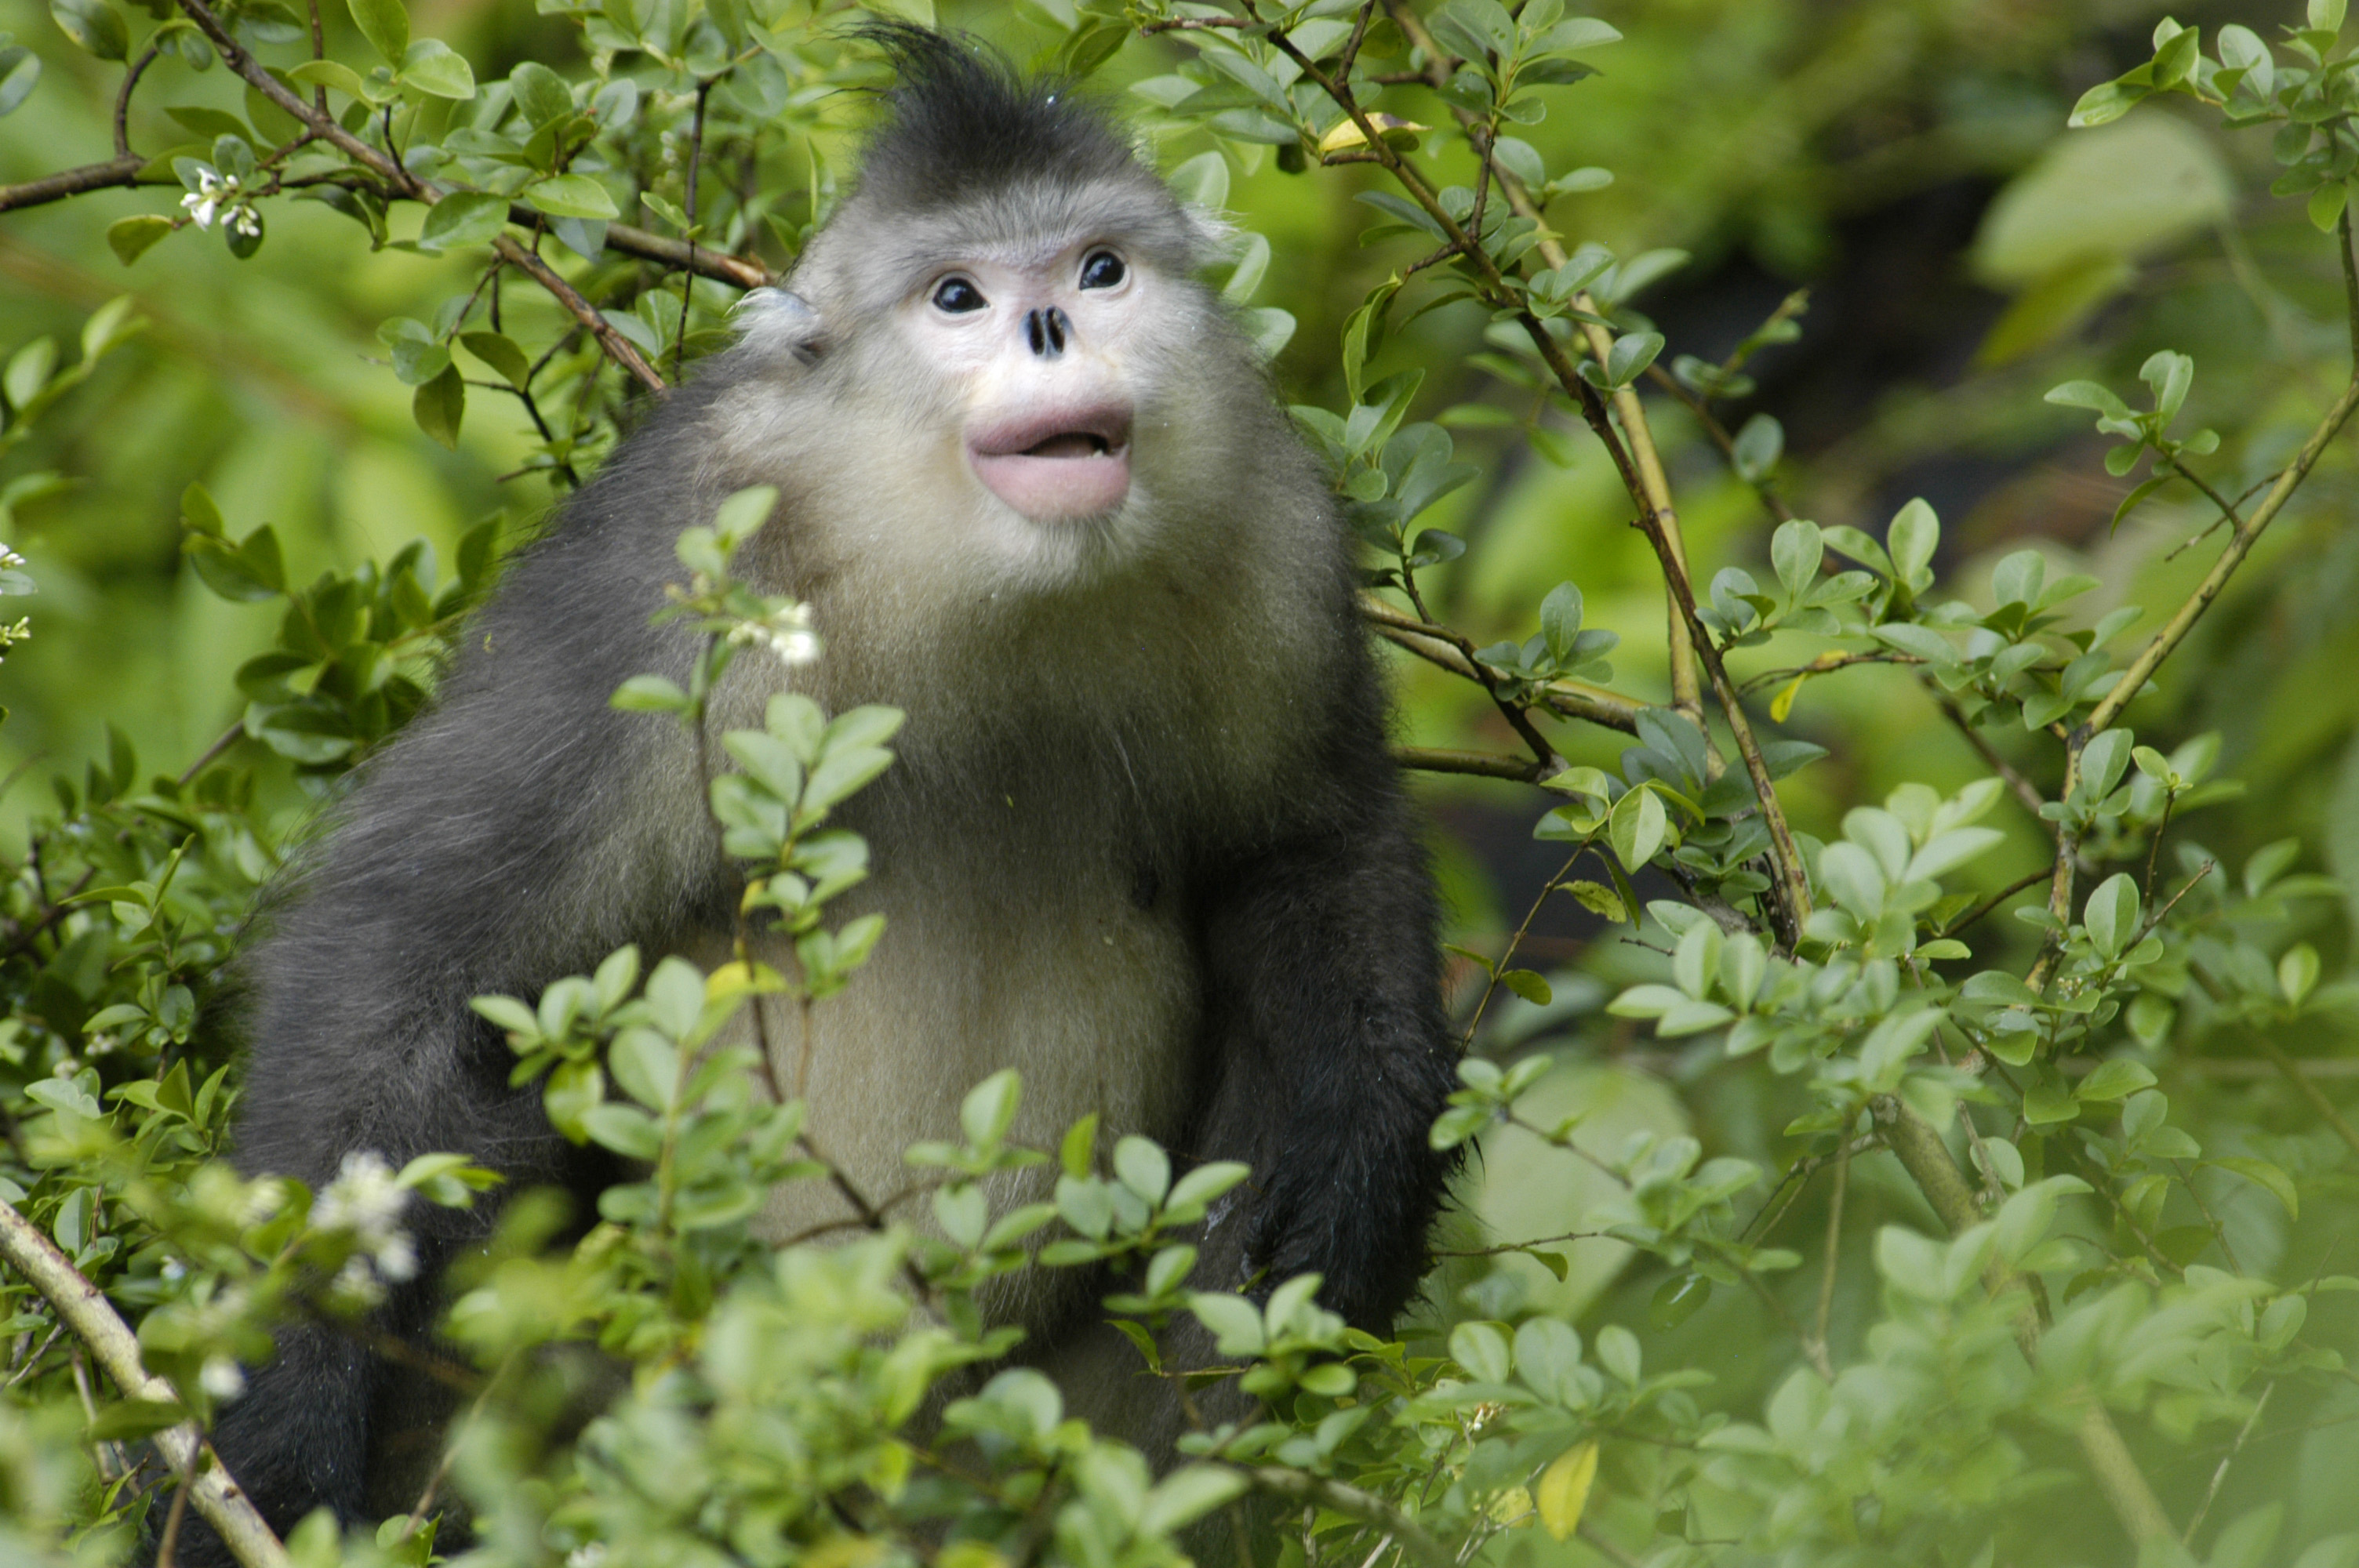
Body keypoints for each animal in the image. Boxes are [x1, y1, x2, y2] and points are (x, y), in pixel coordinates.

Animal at [184, 27, 1462, 1565]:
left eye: (1097, 268)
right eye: (959, 296)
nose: (1051, 329)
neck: (972, 574)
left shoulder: (1271, 520)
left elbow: (1307, 845)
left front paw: (1362, 1155)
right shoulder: (674, 567)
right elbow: (401, 972)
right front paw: (268, 1445)